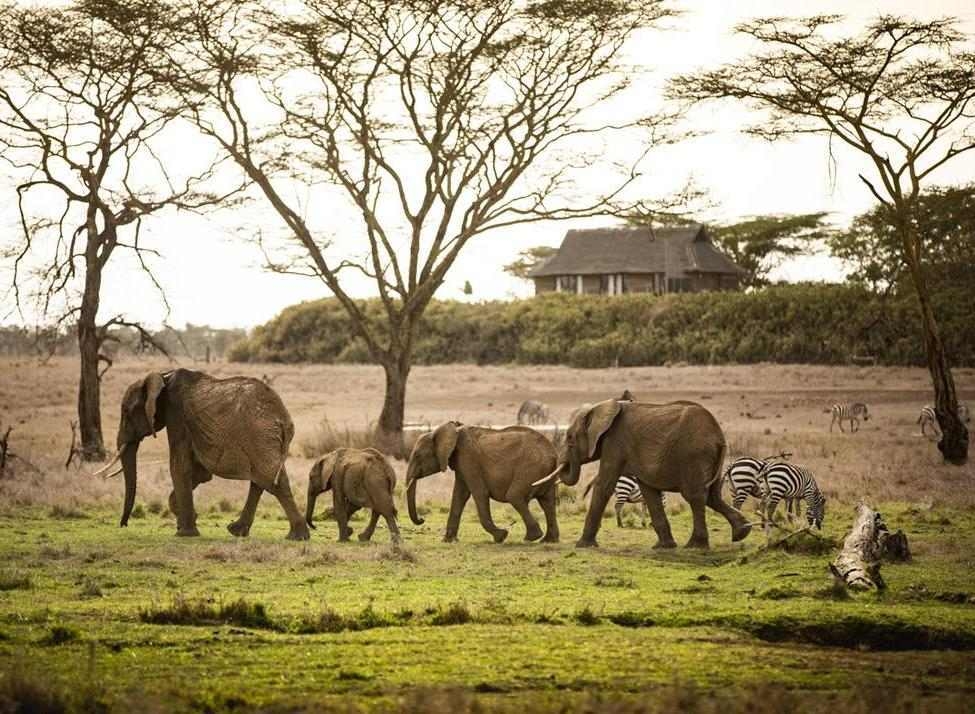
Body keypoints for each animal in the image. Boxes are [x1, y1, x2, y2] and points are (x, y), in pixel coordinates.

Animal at [92, 369, 309, 540]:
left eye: (126, 412)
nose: (123, 525)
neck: (163, 376)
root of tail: (283, 419)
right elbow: (199, 474)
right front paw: (186, 519)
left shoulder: (176, 416)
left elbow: (179, 466)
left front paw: (184, 532)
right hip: (266, 441)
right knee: (263, 480)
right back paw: (239, 531)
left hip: (259, 437)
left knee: (271, 481)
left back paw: (296, 537)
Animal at [406, 421, 559, 543]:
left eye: (417, 456)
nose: (422, 519)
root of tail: (553, 454)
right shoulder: (461, 463)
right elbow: (459, 496)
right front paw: (448, 541)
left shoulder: (468, 458)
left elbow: (479, 493)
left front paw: (501, 536)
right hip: (544, 472)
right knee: (548, 502)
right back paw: (548, 540)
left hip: (531, 467)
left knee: (515, 496)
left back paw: (532, 537)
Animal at [535, 399, 751, 550]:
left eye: (570, 438)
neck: (602, 407)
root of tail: (719, 437)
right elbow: (649, 492)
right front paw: (664, 547)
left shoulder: (615, 443)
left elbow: (604, 486)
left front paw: (582, 545)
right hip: (710, 459)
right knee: (713, 497)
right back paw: (742, 532)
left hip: (694, 456)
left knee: (695, 496)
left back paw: (695, 546)